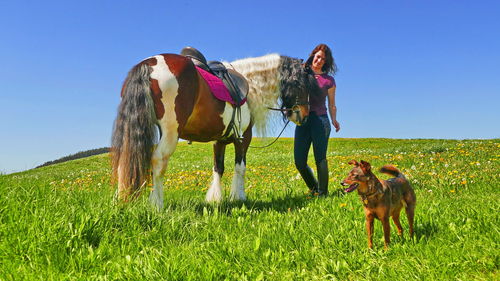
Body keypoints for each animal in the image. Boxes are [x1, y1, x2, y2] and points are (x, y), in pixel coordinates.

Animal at [111, 53, 318, 209]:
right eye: (303, 84)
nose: (304, 114)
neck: (250, 83)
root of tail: (148, 64)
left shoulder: (220, 140)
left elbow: (218, 168)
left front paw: (215, 198)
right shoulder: (243, 138)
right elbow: (240, 167)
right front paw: (238, 197)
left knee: (125, 160)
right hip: (170, 132)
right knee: (158, 161)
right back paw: (157, 204)